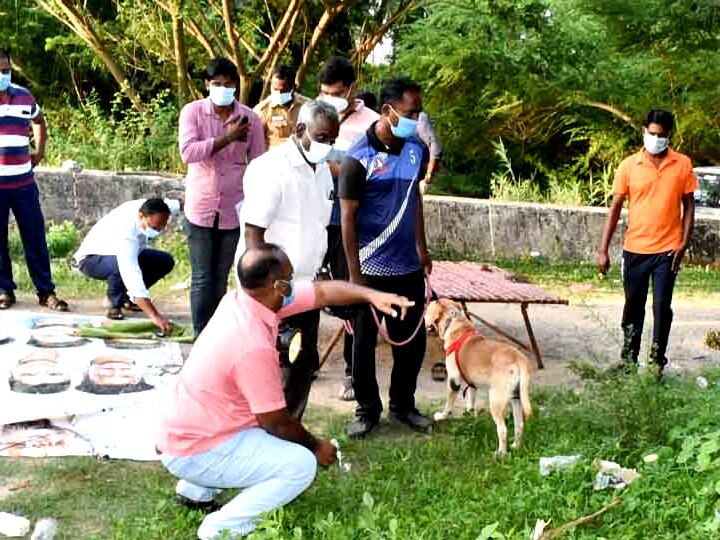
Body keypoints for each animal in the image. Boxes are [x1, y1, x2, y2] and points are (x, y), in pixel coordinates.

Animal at [424, 298, 532, 454]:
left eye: (427, 310)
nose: (422, 318)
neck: (454, 322)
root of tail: (518, 359)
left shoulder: (453, 381)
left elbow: (449, 403)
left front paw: (442, 415)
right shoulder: (471, 384)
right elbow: (471, 403)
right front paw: (471, 418)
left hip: (496, 400)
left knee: (503, 429)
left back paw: (501, 454)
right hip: (516, 397)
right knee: (519, 425)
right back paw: (515, 446)